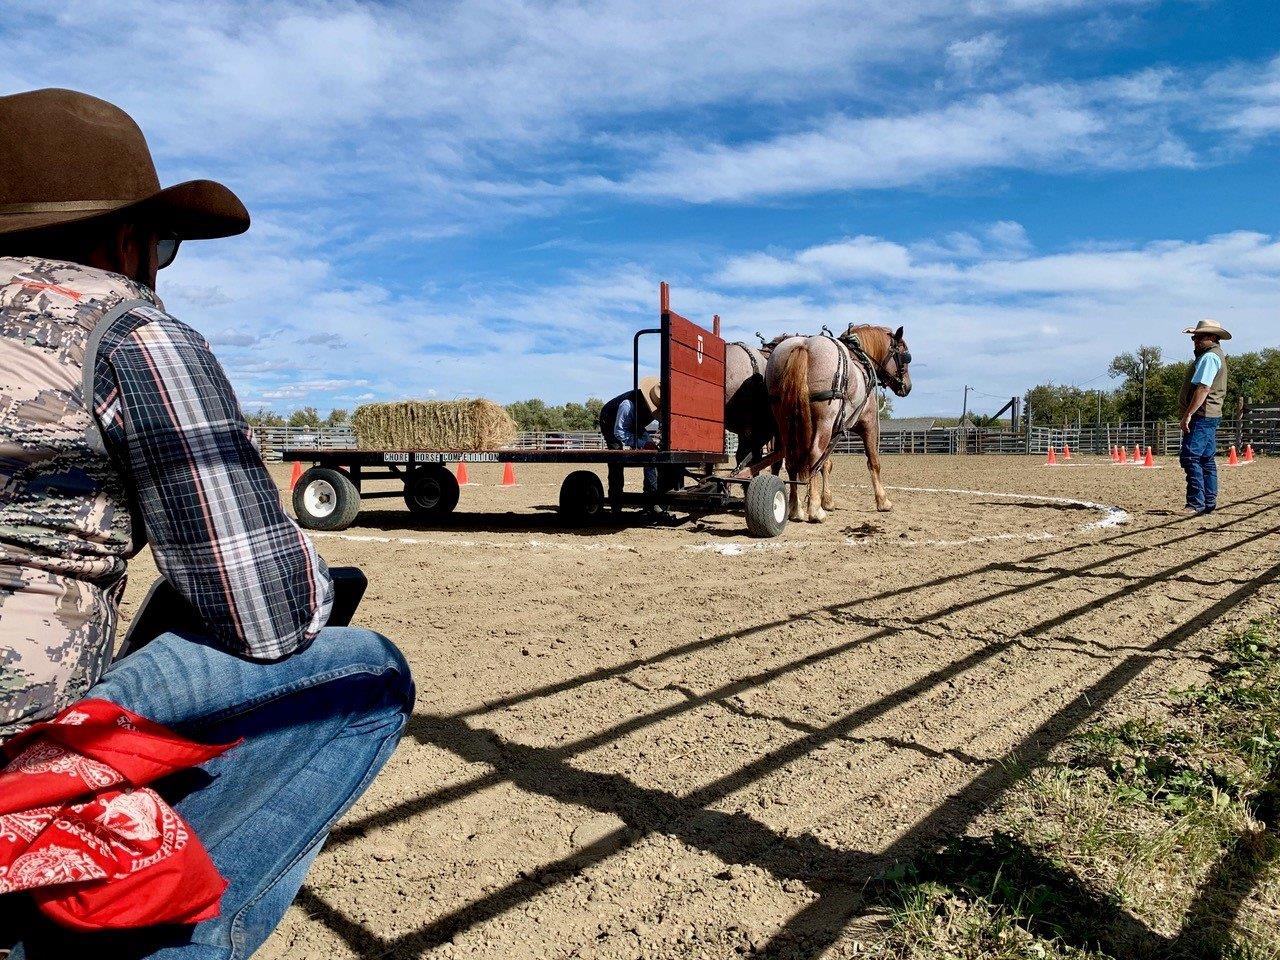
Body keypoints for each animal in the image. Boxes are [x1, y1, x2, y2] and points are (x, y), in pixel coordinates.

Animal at [762, 323, 916, 522]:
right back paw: (815, 511)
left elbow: (826, 464)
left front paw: (827, 500)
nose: (907, 387)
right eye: (905, 356)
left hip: (785, 421)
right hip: (823, 421)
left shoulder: (835, 429)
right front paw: (883, 501)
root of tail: (803, 346)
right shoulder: (868, 423)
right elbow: (873, 461)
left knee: (791, 459)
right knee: (813, 455)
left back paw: (796, 509)